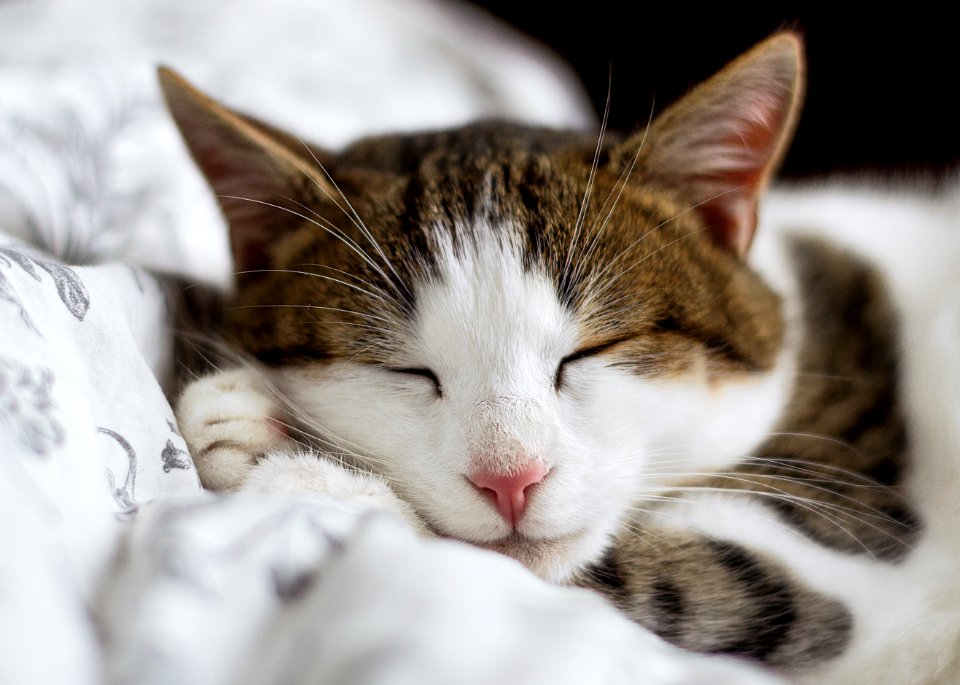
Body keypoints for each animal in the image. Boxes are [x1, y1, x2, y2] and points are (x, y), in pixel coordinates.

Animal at [163, 33, 960, 684]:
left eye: (590, 351)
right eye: (403, 368)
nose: (510, 479)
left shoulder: (863, 552)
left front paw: (315, 478)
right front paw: (249, 418)